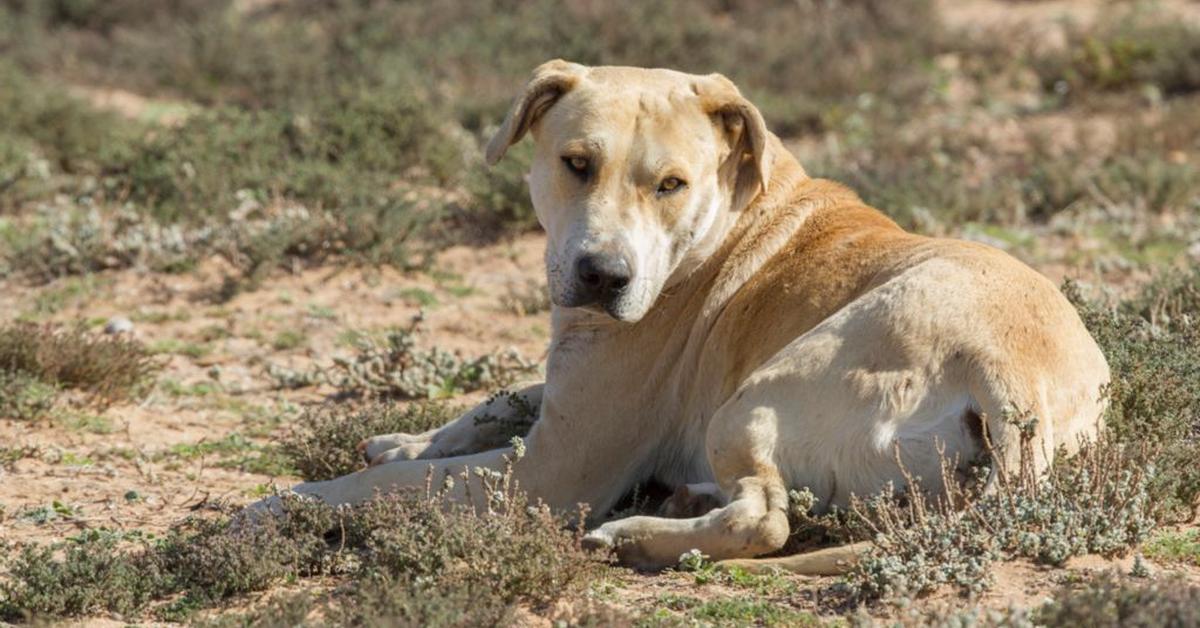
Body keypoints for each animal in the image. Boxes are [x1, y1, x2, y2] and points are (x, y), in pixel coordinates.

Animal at [262, 62, 1104, 573]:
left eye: (671, 183)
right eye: (576, 163)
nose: (603, 275)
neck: (723, 221)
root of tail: (1011, 374)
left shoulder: (547, 471)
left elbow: (369, 487)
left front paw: (268, 511)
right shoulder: (565, 389)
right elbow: (489, 405)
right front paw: (407, 438)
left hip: (750, 403)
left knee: (765, 520)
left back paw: (635, 535)